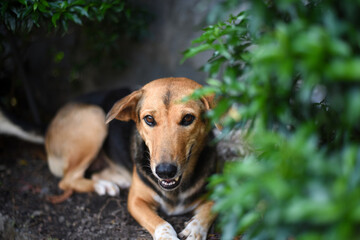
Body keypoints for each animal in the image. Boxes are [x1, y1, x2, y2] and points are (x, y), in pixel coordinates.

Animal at [46, 78, 218, 239]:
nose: (165, 171)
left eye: (188, 118)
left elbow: (210, 209)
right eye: (149, 119)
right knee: (67, 180)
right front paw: (168, 237)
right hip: (95, 118)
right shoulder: (135, 201)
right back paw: (103, 185)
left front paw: (195, 229)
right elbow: (162, 224)